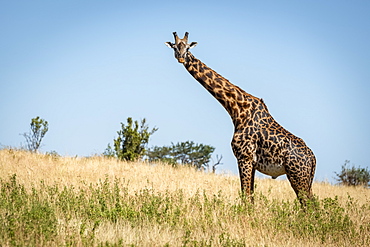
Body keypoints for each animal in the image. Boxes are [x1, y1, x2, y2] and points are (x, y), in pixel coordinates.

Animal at [166, 31, 316, 204]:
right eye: (175, 47)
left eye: (188, 47)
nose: (181, 58)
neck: (237, 110)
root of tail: (313, 159)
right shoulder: (251, 163)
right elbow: (250, 196)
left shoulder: (244, 157)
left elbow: (245, 196)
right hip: (305, 179)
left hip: (298, 176)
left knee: (308, 204)